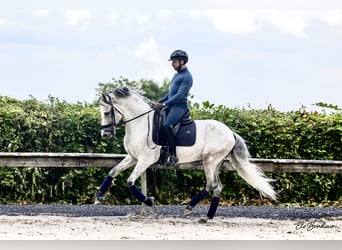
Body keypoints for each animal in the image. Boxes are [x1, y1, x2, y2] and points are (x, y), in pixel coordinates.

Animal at [94, 87, 278, 222]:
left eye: (106, 112)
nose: (105, 134)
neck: (140, 123)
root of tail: (230, 132)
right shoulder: (133, 158)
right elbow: (113, 171)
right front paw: (99, 196)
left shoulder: (145, 160)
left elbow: (130, 182)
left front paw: (149, 201)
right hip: (215, 163)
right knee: (217, 187)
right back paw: (207, 217)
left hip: (210, 161)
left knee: (211, 185)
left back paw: (190, 208)